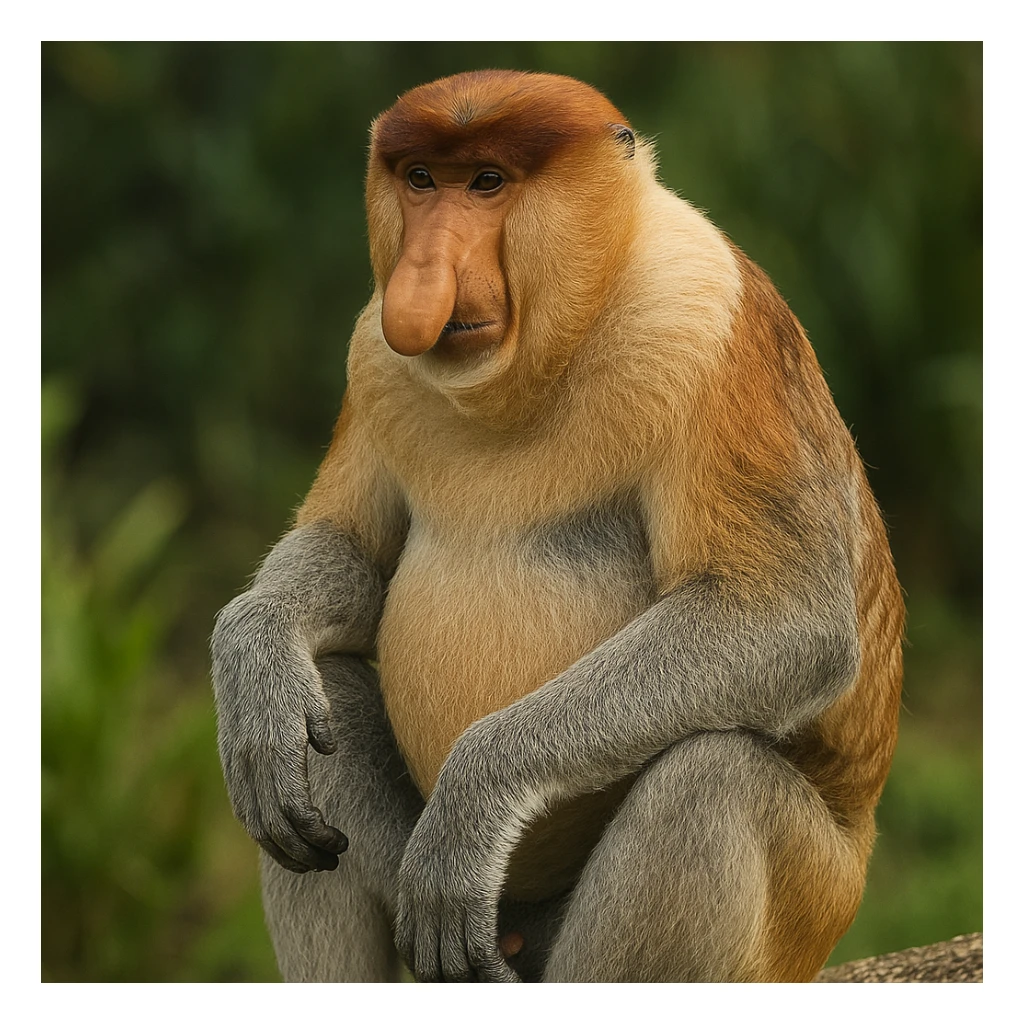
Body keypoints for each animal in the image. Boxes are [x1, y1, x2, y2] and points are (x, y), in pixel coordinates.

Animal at [210, 69, 904, 983]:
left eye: (488, 182)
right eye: (421, 179)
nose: (422, 273)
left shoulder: (709, 323)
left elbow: (782, 615)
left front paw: (474, 799)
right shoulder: (373, 355)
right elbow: (354, 550)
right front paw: (254, 654)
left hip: (809, 901)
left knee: (711, 781)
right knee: (330, 705)